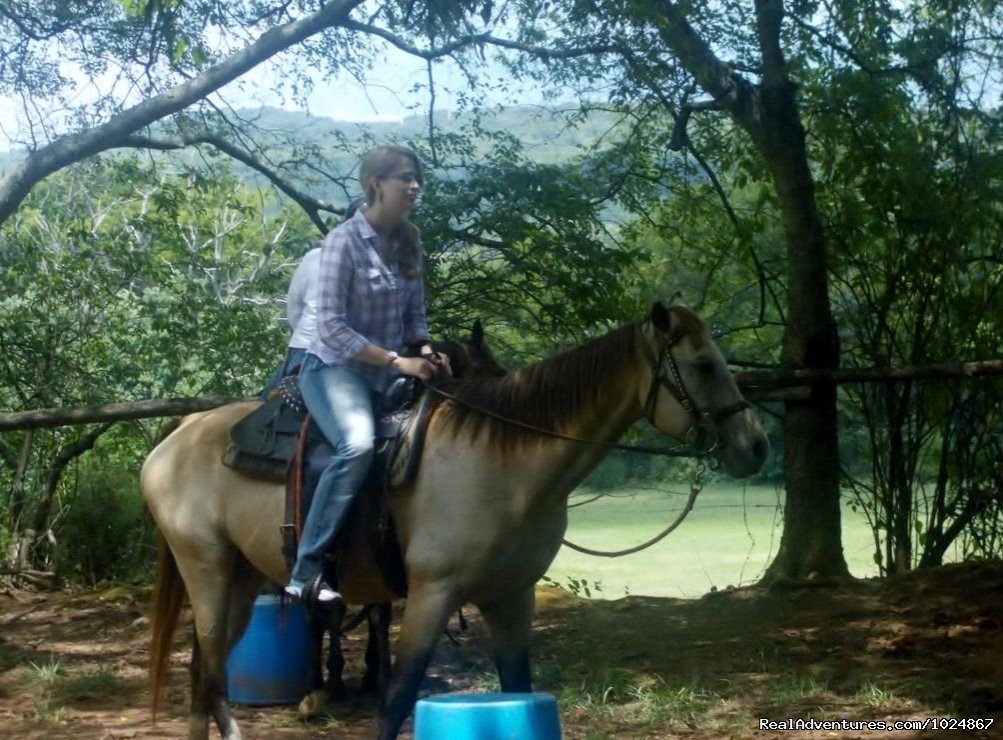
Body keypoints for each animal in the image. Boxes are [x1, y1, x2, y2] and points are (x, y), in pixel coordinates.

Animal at [139, 300, 766, 737]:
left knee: (205, 673)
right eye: (703, 365)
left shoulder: (511, 597)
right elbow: (396, 701)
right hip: (208, 572)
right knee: (206, 673)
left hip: (242, 580)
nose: (755, 446)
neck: (503, 462)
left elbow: (516, 683)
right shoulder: (433, 593)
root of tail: (180, 431)